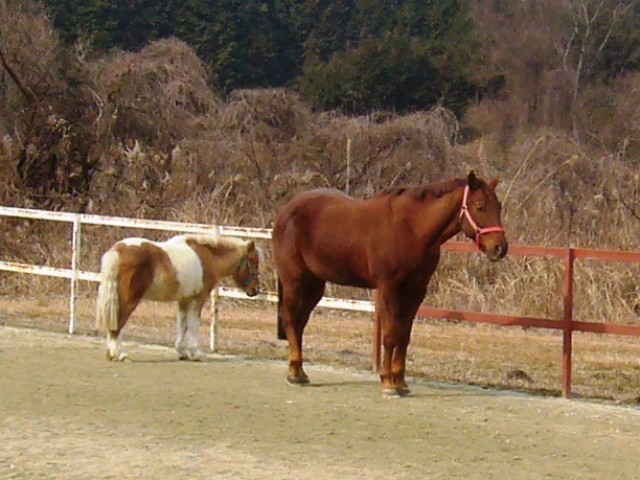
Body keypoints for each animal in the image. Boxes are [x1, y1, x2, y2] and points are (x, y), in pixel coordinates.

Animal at [95, 233, 262, 361]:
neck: (207, 257)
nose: (256, 289)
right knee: (119, 322)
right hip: (129, 299)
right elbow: (193, 323)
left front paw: (182, 352)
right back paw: (119, 354)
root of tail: (118, 250)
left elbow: (182, 323)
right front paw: (195, 354)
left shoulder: (184, 299)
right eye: (253, 261)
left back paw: (112, 353)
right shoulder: (199, 298)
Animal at [273, 171, 508, 397]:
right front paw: (387, 383)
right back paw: (294, 373)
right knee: (291, 318)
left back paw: (300, 372)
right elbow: (390, 335)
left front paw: (401, 382)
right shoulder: (389, 289)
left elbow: (404, 336)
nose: (500, 248)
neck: (410, 229)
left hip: (314, 284)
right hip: (294, 279)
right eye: (480, 206)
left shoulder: (416, 291)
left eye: (499, 206)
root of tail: (285, 211)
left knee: (300, 322)